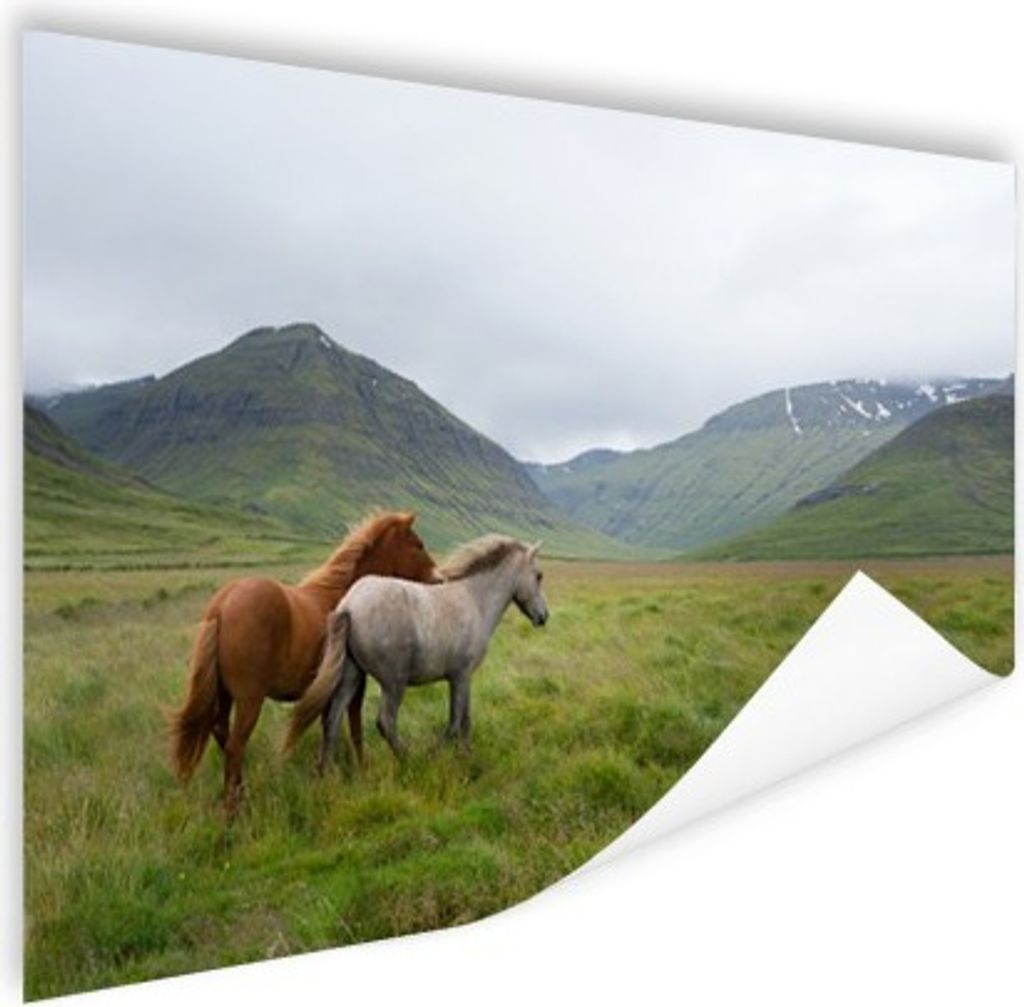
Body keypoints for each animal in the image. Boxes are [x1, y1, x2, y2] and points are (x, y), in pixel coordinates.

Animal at [167, 510, 442, 814]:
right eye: (418, 544)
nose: (440, 579)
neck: (344, 596)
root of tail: (222, 605)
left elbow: (329, 727)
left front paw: (326, 772)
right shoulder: (354, 685)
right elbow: (355, 727)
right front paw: (360, 770)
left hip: (225, 695)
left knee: (222, 733)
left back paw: (240, 792)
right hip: (250, 700)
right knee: (236, 746)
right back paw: (233, 810)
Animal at [284, 535, 548, 768]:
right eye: (538, 575)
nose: (543, 617)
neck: (473, 600)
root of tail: (349, 605)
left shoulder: (461, 679)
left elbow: (464, 719)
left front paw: (465, 755)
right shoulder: (461, 677)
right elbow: (456, 722)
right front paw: (443, 754)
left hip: (352, 674)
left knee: (333, 718)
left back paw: (327, 771)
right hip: (394, 682)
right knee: (385, 722)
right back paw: (409, 760)